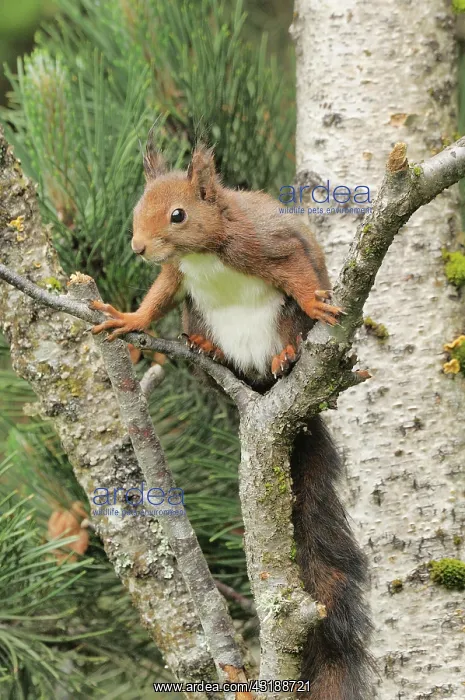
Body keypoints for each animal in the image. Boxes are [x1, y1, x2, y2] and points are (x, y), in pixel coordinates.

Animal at [91, 140, 372, 700]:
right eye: (138, 208)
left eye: (177, 214)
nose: (139, 248)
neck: (206, 250)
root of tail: (260, 384)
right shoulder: (177, 275)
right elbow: (159, 296)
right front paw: (129, 320)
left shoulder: (266, 243)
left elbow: (297, 272)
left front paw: (318, 303)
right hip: (197, 315)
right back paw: (207, 350)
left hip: (281, 321)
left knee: (288, 329)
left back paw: (288, 355)